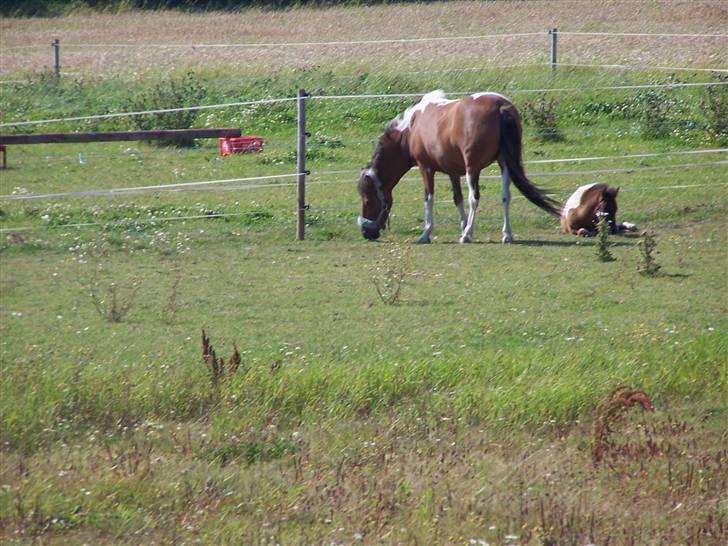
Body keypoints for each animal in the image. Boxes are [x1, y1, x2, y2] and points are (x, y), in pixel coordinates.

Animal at [356, 90, 556, 242]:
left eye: (367, 200)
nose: (366, 233)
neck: (412, 127)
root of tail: (500, 106)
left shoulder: (425, 168)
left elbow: (429, 199)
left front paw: (427, 233)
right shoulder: (452, 172)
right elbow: (457, 198)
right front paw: (463, 225)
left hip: (472, 169)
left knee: (474, 198)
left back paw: (467, 236)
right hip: (504, 163)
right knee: (505, 196)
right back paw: (506, 234)